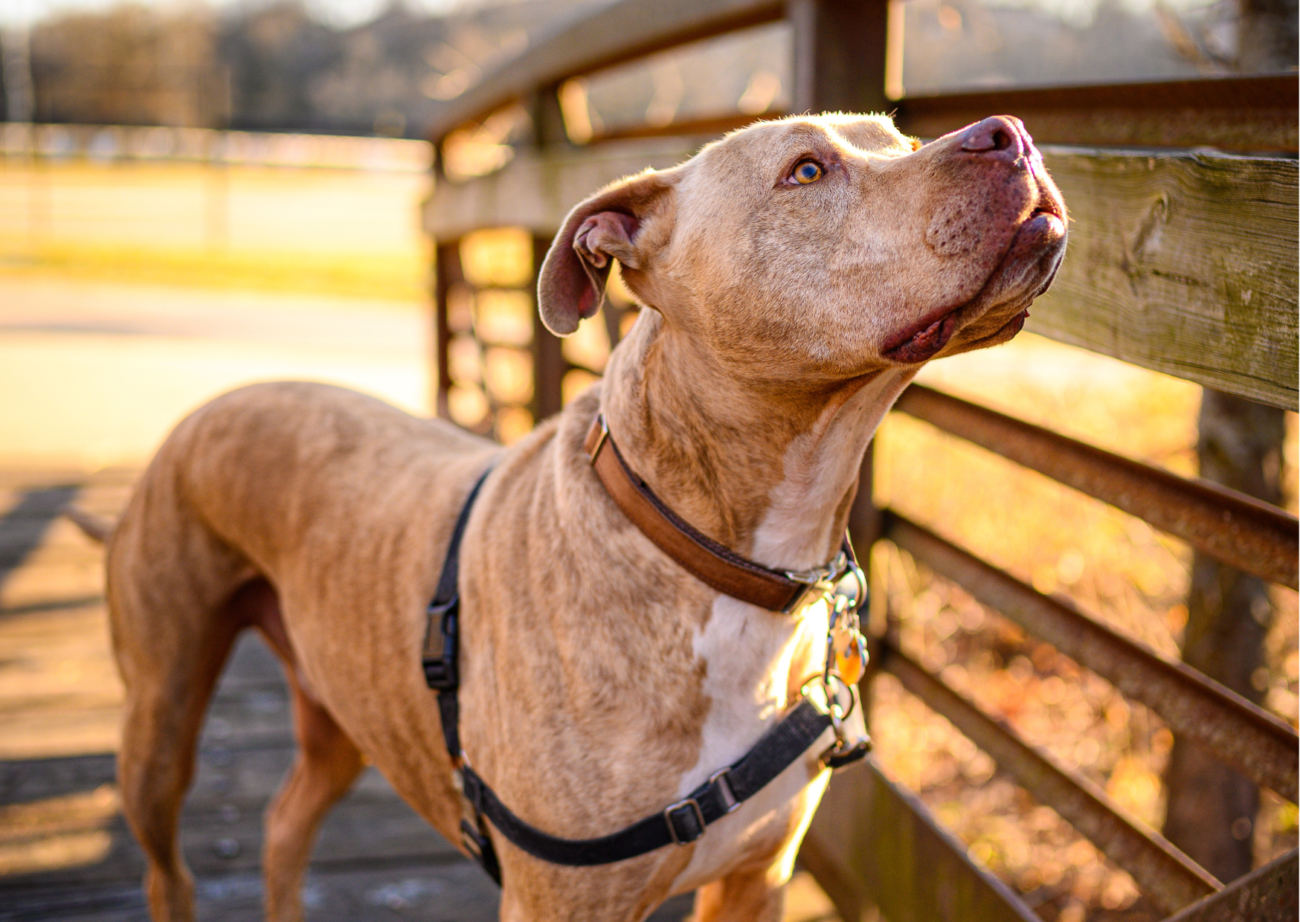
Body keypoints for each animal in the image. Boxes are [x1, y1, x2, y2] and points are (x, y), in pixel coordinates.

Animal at [83, 111, 1066, 915]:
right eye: (807, 171)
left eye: (900, 139)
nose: (1009, 132)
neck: (712, 553)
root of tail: (224, 397)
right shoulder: (561, 901)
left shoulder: (756, 881)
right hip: (159, 719)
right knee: (166, 859)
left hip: (339, 704)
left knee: (286, 822)